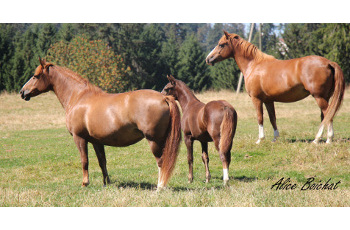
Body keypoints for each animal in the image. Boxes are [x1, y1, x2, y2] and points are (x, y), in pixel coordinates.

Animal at [20, 58, 182, 190]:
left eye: (35, 76)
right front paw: (106, 183)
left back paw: (160, 186)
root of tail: (164, 98)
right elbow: (102, 162)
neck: (79, 97)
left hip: (154, 140)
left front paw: (85, 183)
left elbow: (84, 161)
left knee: (161, 162)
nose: (22, 92)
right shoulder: (97, 141)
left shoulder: (79, 138)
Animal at [206, 30, 346, 144]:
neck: (254, 65)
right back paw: (320, 138)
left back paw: (324, 139)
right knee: (324, 116)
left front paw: (260, 139)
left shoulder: (256, 99)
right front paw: (275, 138)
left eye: (221, 44)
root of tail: (328, 62)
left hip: (319, 97)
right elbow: (272, 118)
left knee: (328, 114)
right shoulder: (268, 100)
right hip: (324, 97)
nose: (208, 59)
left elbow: (260, 118)